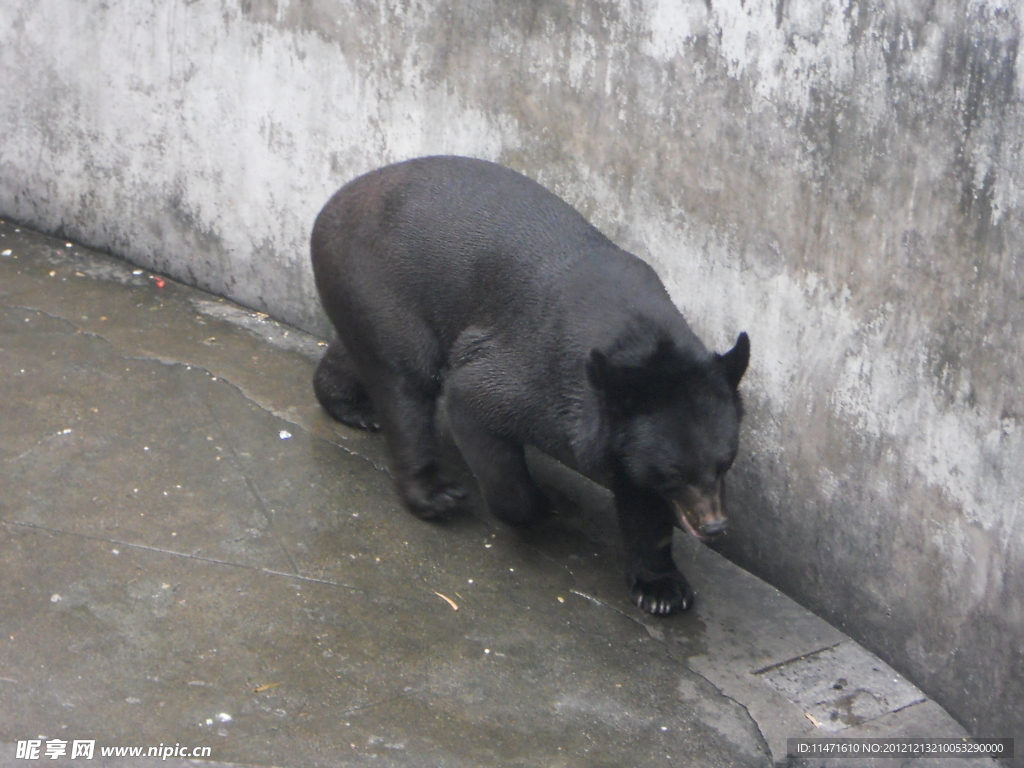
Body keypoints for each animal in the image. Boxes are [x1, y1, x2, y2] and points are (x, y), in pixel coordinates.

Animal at [307, 157, 749, 618]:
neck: (640, 342)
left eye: (725, 463)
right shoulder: (541, 378)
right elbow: (476, 401)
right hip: (379, 286)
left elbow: (641, 501)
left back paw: (350, 405)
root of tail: (334, 201)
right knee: (406, 382)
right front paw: (539, 509)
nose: (714, 525)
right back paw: (433, 493)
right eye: (675, 473)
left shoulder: (630, 428)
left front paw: (662, 589)